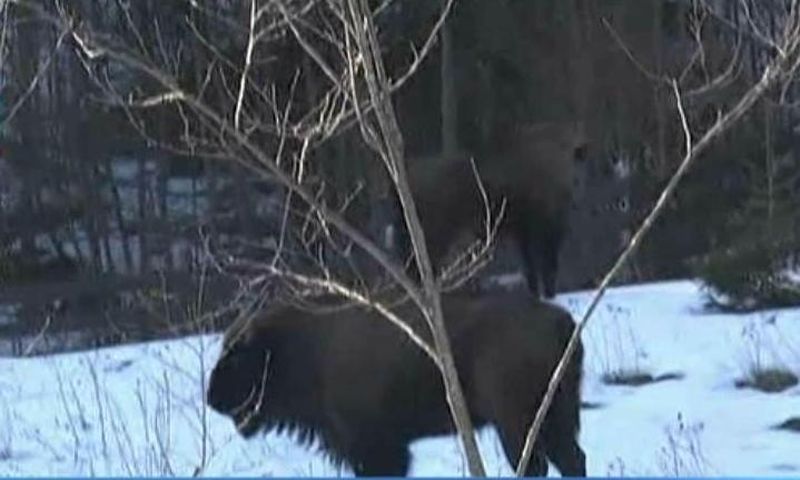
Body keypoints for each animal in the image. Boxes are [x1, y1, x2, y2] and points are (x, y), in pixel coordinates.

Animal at [207, 290, 586, 476]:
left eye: (236, 357)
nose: (211, 397)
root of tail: (562, 323)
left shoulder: (377, 450)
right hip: (556, 420)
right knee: (571, 460)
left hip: (518, 426)